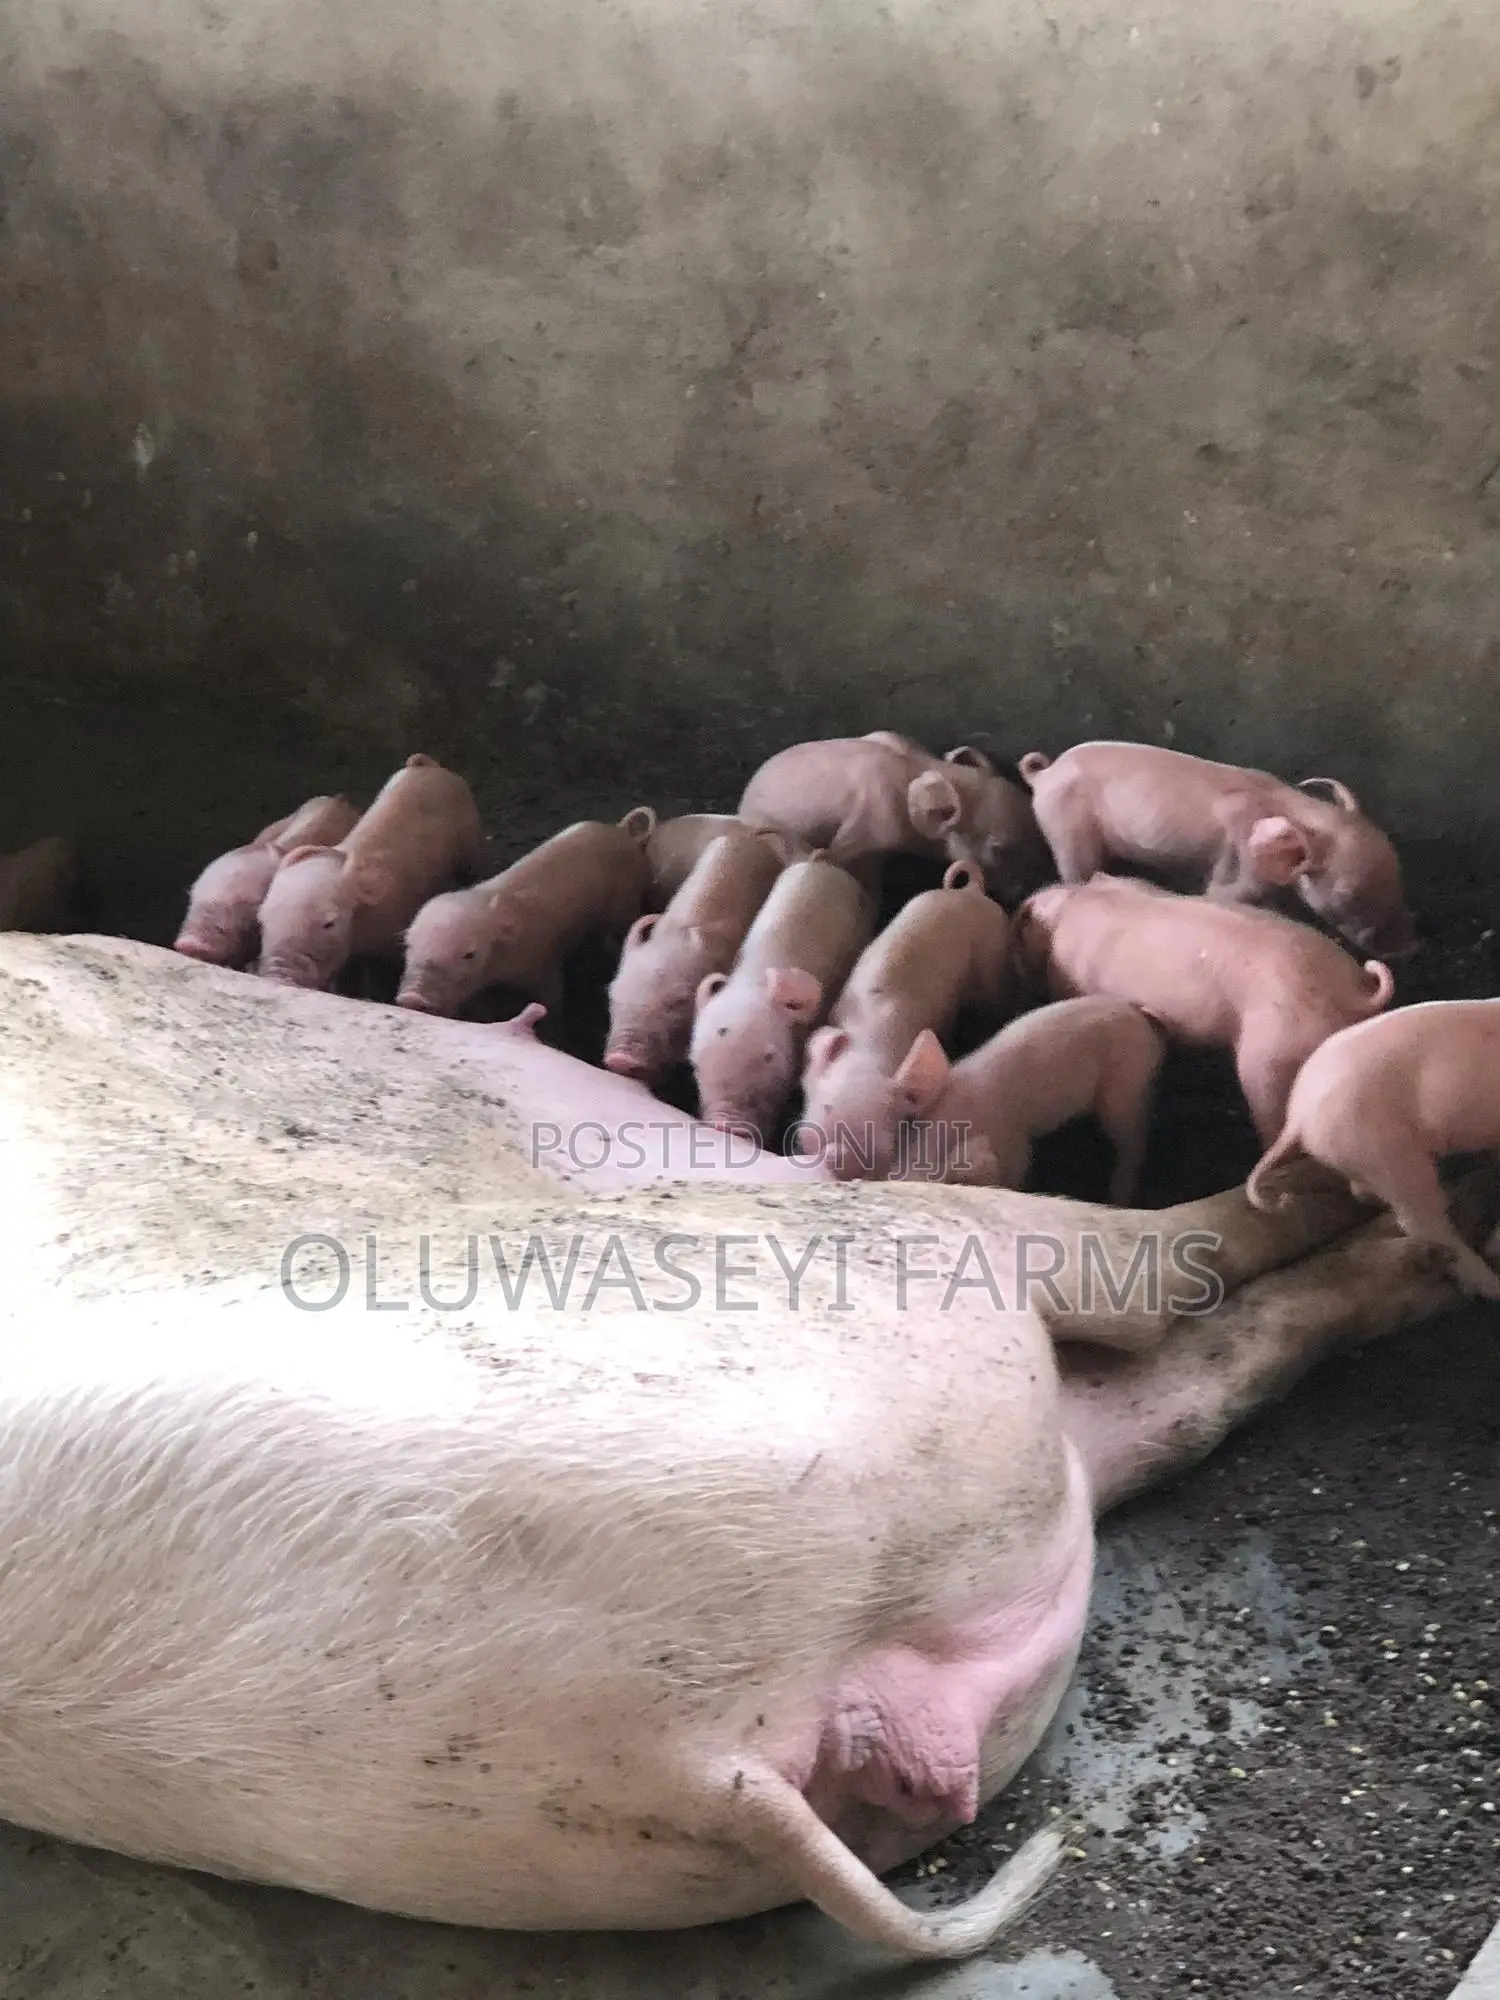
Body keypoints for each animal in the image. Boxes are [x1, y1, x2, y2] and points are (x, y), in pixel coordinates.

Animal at [396, 809, 656, 1017]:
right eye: (408, 945)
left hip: (625, 904)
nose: (411, 998)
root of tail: (621, 830)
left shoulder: (543, 960)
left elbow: (552, 998)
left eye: (469, 954)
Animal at [796, 859, 1014, 1178]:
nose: (838, 1155)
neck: (871, 1044)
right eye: (826, 1106)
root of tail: (971, 892)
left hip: (994, 960)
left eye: (887, 1136)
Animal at [888, 999, 1167, 1203]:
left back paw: (1120, 1196)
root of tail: (1144, 1020)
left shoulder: (1014, 1145)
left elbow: (1017, 1171)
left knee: (1133, 1140)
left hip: (1126, 1085)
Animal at [1016, 741, 1416, 959]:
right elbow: (1221, 893)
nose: (1411, 946)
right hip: (1066, 830)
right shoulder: (1236, 864)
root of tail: (1043, 774)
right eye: (1349, 893)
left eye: (1399, 874)